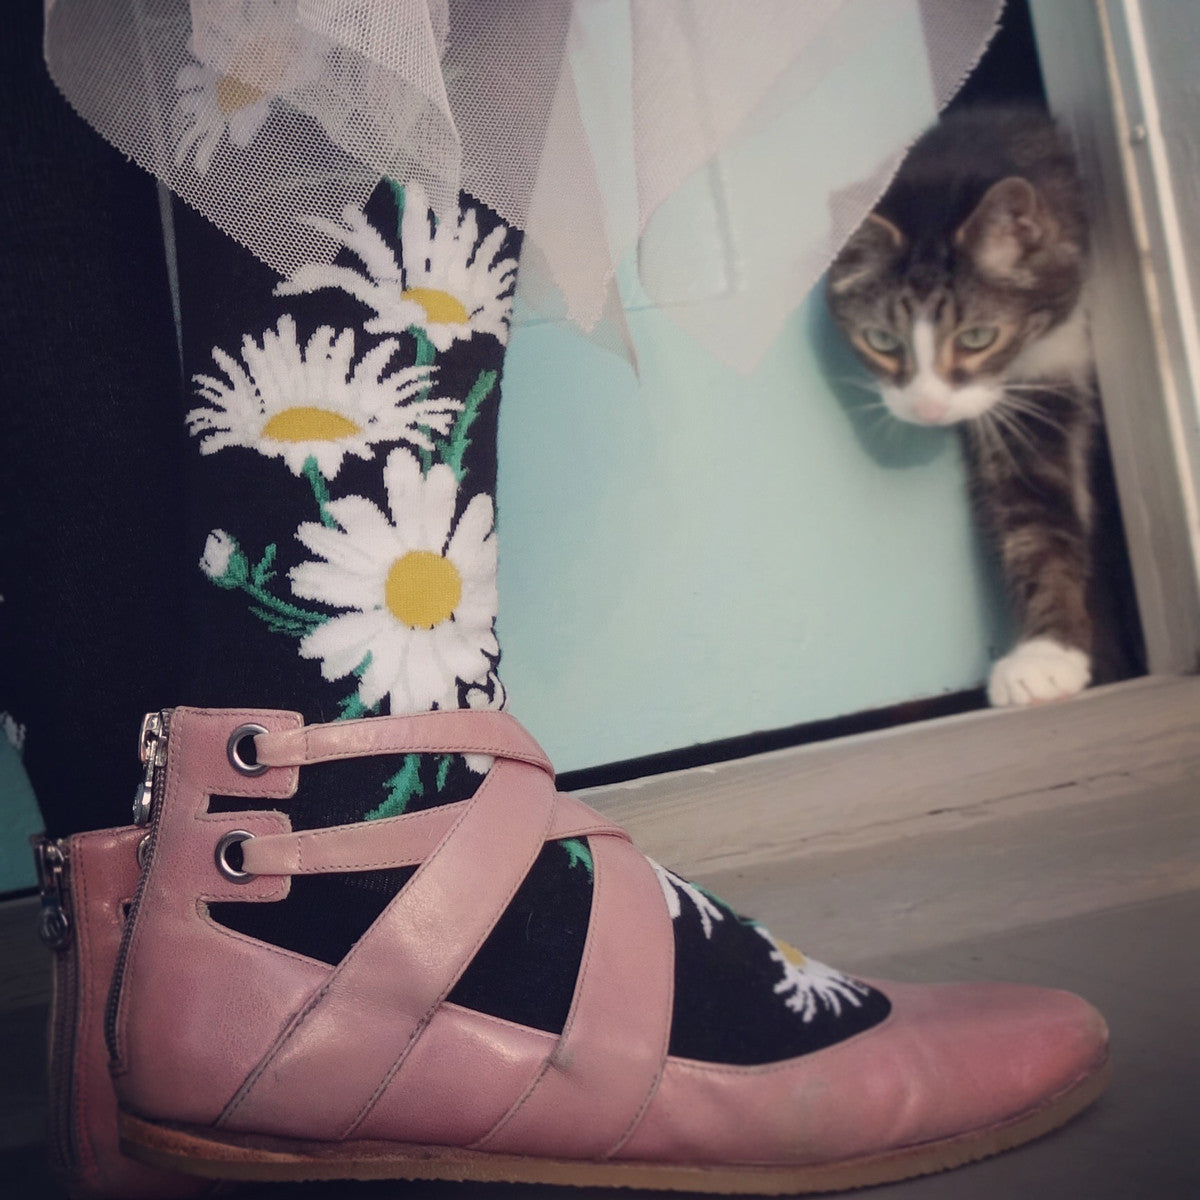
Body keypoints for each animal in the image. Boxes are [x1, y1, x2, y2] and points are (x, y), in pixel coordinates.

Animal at [825, 105, 1104, 700]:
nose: (929, 410)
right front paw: (1046, 658)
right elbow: (1035, 522)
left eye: (978, 337)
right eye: (881, 340)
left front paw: (1050, 657)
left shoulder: (1050, 362)